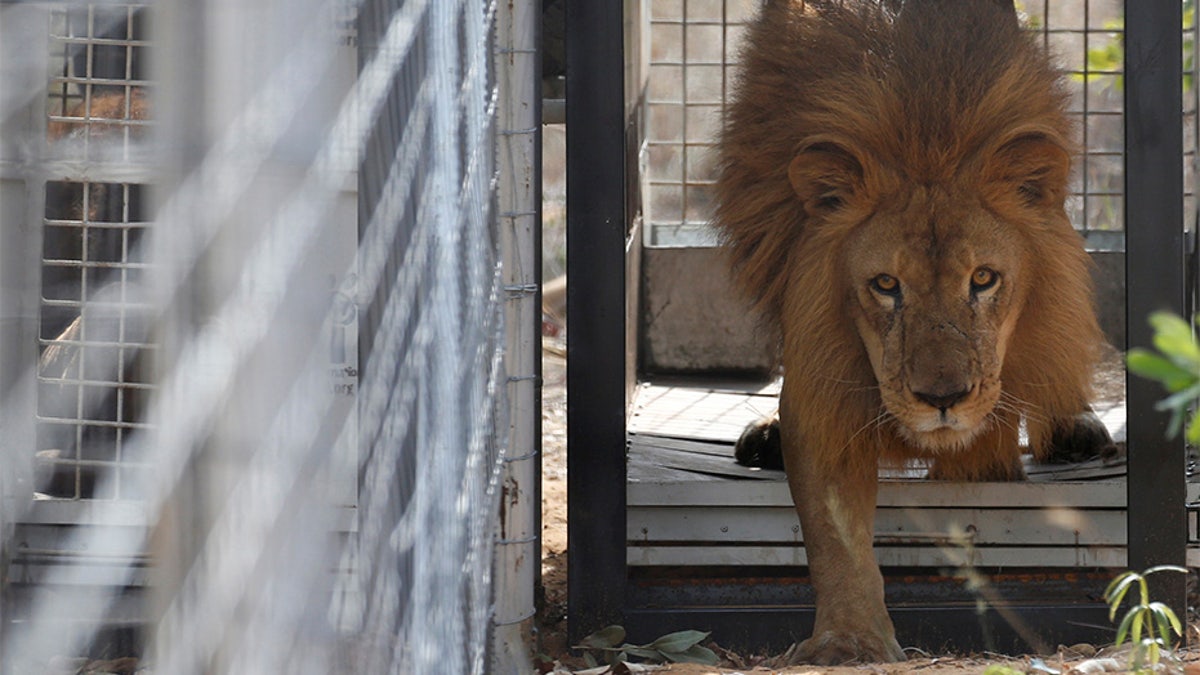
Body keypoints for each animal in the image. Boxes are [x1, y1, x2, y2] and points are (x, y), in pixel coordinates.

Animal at [710, 0, 1113, 662]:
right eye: (885, 285)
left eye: (983, 278)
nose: (942, 399)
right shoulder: (823, 392)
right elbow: (834, 536)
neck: (929, 141)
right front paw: (849, 639)